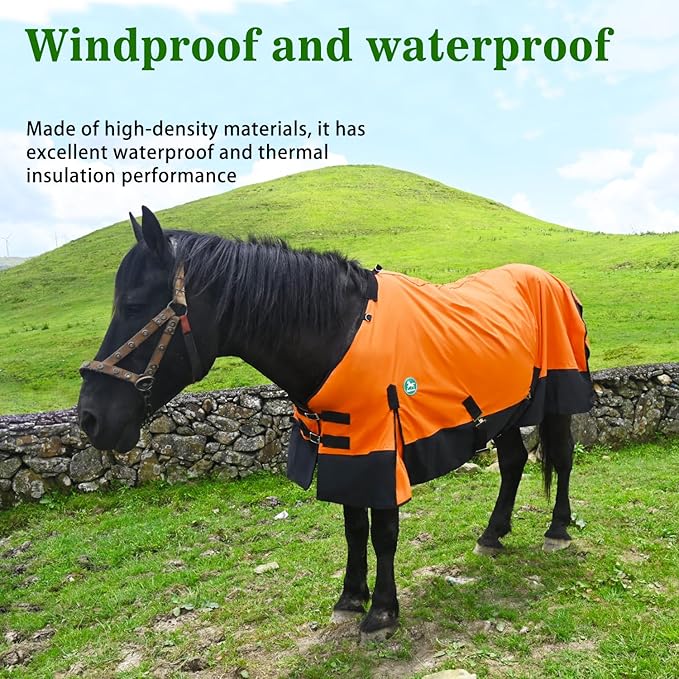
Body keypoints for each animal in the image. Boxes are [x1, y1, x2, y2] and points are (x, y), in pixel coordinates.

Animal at [78, 206, 594, 640]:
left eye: (135, 305)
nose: (89, 417)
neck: (339, 334)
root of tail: (555, 282)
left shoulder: (380, 448)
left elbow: (384, 531)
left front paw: (383, 609)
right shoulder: (346, 446)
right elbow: (354, 526)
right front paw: (351, 598)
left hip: (556, 399)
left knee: (563, 458)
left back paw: (557, 530)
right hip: (503, 411)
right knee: (512, 462)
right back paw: (492, 534)